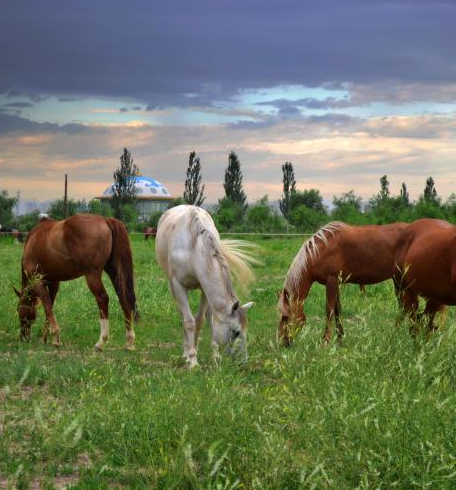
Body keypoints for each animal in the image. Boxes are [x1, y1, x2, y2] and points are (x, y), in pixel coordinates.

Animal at [14, 213, 139, 348]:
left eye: (19, 310)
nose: (23, 337)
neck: (33, 241)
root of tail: (105, 220)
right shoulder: (54, 282)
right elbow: (50, 306)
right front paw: (45, 338)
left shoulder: (37, 281)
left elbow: (47, 306)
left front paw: (55, 337)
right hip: (114, 272)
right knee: (124, 298)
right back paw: (129, 341)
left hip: (92, 275)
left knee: (103, 299)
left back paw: (101, 341)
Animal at [156, 204, 256, 368]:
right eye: (236, 332)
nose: (243, 361)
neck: (194, 249)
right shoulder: (178, 285)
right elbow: (189, 322)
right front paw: (192, 360)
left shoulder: (205, 288)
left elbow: (204, 320)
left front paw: (214, 355)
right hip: (171, 286)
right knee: (183, 316)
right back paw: (186, 352)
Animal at [278, 220, 410, 346]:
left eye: (286, 317)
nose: (283, 343)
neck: (321, 250)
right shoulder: (336, 282)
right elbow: (337, 309)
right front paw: (340, 339)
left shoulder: (331, 280)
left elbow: (329, 310)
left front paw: (325, 342)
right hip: (397, 279)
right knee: (403, 307)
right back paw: (395, 335)